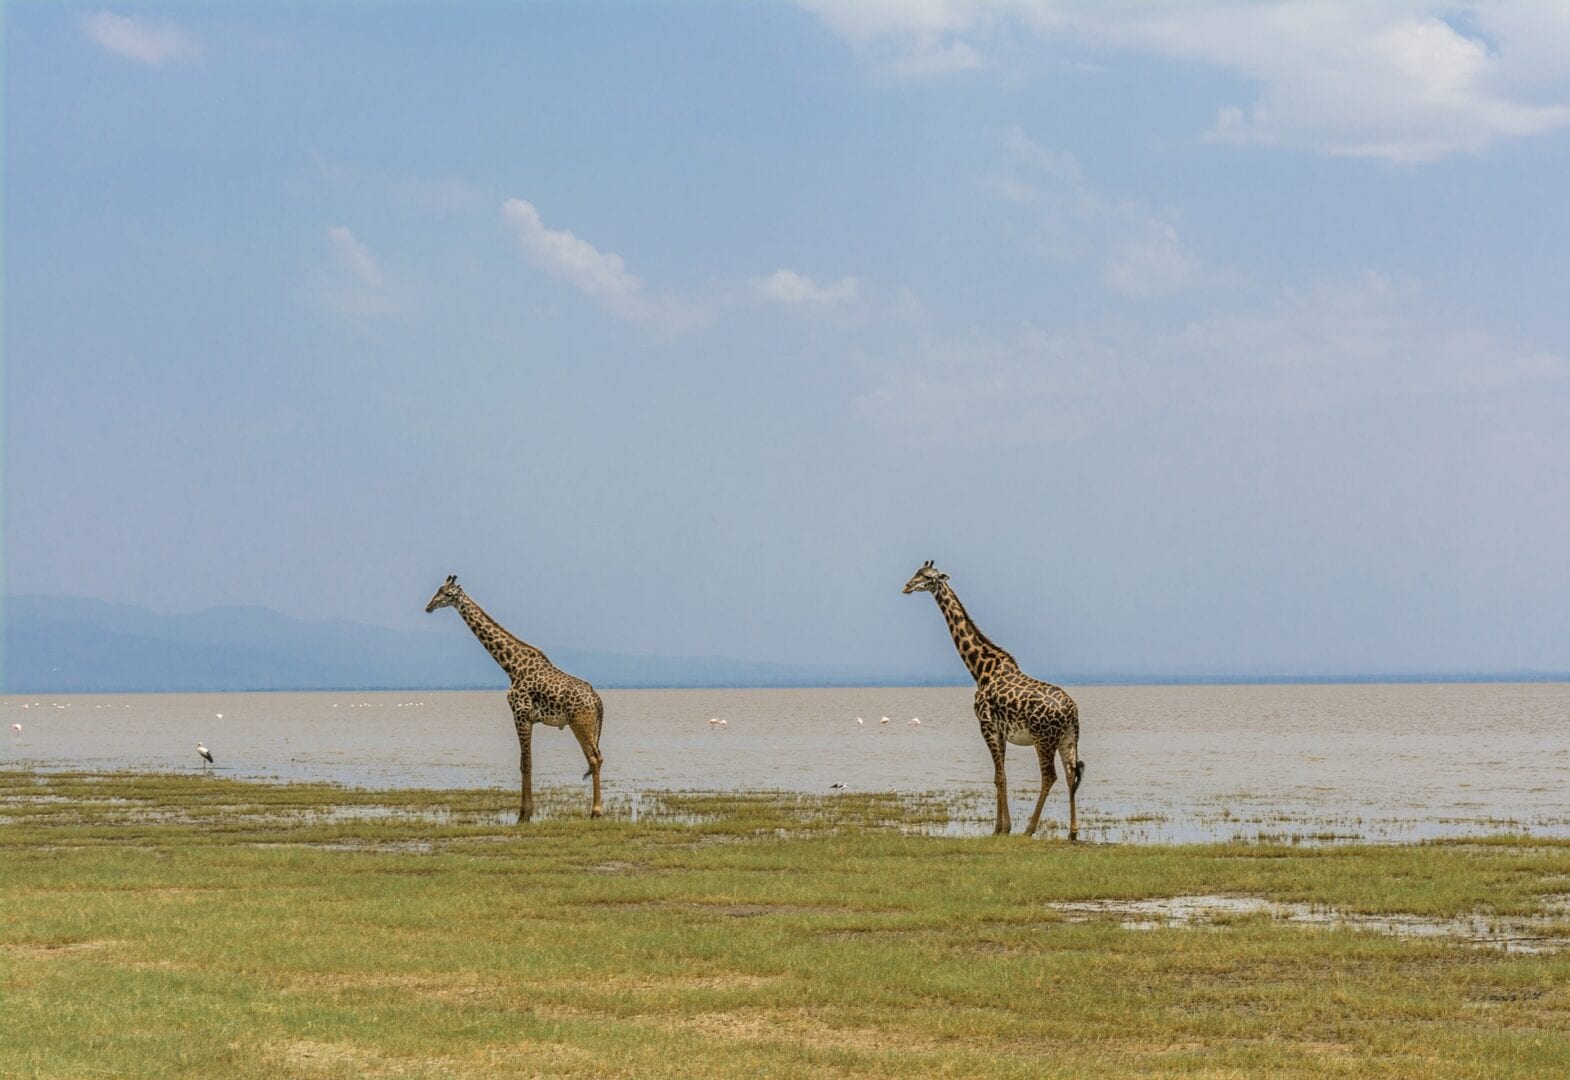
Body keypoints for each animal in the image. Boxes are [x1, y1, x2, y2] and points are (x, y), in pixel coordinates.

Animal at [423, 577, 599, 822]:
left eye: (448, 594)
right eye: (438, 590)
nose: (429, 606)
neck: (512, 667)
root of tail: (597, 699)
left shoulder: (520, 715)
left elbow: (525, 763)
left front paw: (523, 815)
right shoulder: (528, 719)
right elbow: (527, 763)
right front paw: (525, 813)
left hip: (580, 724)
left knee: (593, 759)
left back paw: (596, 811)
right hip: (590, 726)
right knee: (598, 758)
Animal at [904, 561, 1086, 841]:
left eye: (928, 577)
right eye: (916, 573)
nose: (907, 586)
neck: (981, 670)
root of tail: (1071, 711)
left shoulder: (986, 725)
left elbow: (999, 777)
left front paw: (1002, 828)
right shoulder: (1000, 731)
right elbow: (1000, 776)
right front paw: (1000, 827)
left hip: (1044, 738)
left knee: (1050, 776)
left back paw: (1029, 829)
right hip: (1067, 738)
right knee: (1070, 774)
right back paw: (1072, 832)